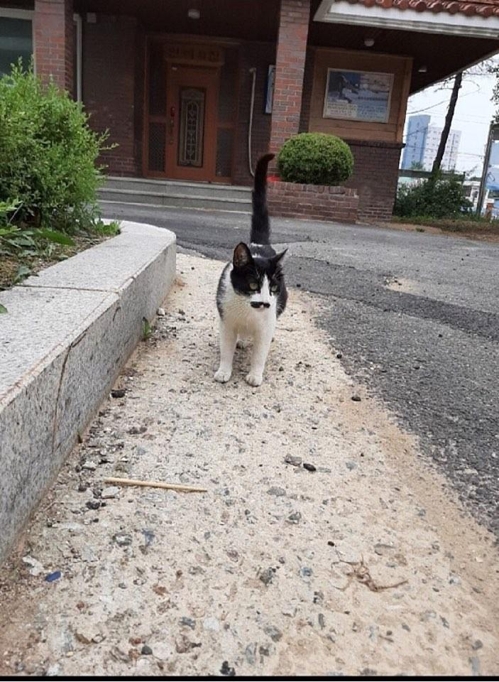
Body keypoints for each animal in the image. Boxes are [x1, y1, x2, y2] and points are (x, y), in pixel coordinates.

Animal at [215, 155, 290, 388]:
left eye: (273, 287)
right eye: (253, 284)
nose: (265, 303)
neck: (247, 311)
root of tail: (259, 244)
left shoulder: (265, 325)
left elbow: (259, 354)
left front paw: (255, 375)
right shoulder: (227, 321)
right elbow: (226, 348)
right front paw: (224, 371)